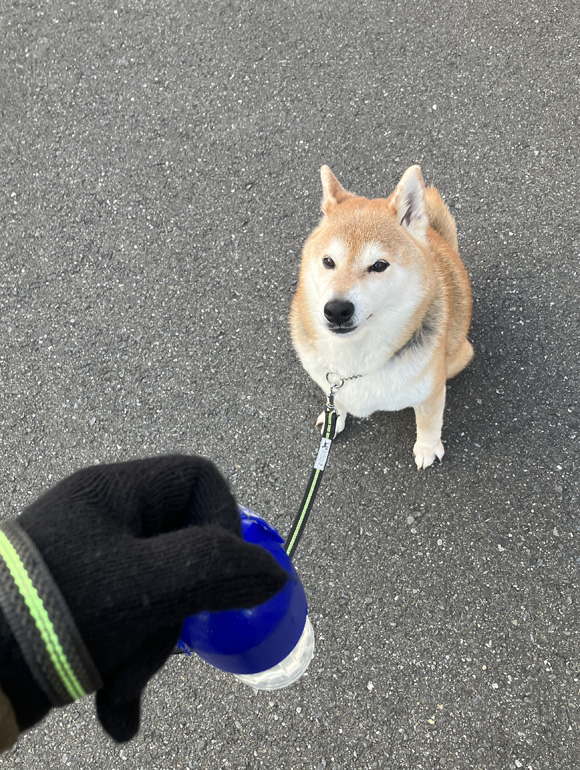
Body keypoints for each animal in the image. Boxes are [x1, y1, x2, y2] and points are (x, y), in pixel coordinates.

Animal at [289, 165, 473, 469]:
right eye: (328, 261)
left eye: (378, 265)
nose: (336, 309)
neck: (355, 358)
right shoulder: (329, 383)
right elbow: (337, 402)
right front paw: (334, 419)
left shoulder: (431, 392)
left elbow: (429, 422)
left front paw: (427, 448)